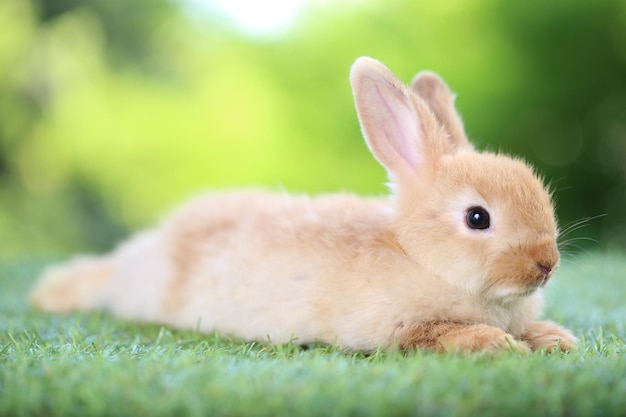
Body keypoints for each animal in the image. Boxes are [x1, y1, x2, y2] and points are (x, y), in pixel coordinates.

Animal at [29, 56, 576, 352]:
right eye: (477, 218)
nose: (547, 264)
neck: (422, 257)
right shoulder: (400, 329)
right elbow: (438, 336)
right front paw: (496, 345)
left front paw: (555, 340)